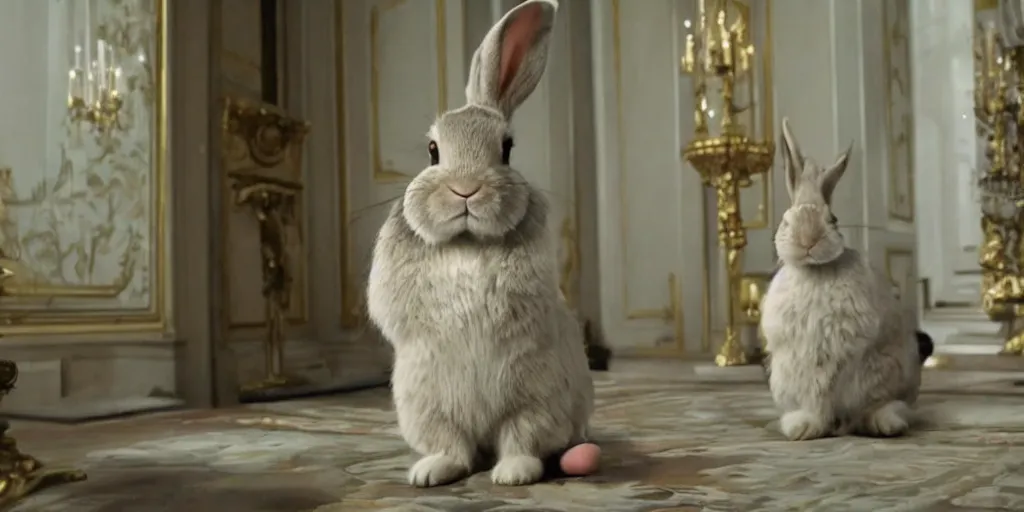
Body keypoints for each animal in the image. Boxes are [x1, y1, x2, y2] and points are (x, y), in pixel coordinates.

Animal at [365, 0, 596, 488]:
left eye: (506, 149)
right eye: (433, 150)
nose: (466, 190)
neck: (467, 241)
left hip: (537, 400)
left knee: (520, 438)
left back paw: (513, 473)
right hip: (425, 407)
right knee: (455, 446)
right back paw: (432, 471)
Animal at [759, 118, 922, 441]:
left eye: (832, 219)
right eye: (786, 219)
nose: (808, 239)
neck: (814, 269)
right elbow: (818, 397)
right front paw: (809, 427)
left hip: (889, 375)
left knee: (878, 408)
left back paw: (886, 424)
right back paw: (801, 427)